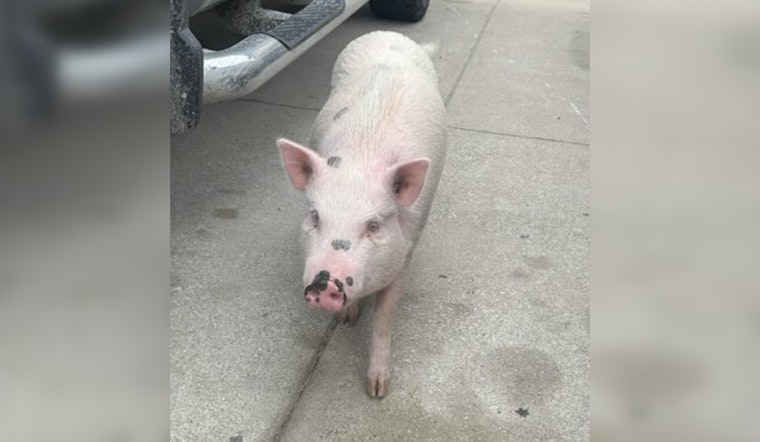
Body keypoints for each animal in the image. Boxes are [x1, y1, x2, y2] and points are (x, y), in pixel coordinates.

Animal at [277, 31, 446, 398]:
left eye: (373, 225)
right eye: (315, 216)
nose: (325, 282)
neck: (361, 158)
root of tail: (389, 34)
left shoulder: (407, 249)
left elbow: (384, 318)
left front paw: (377, 391)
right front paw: (347, 320)